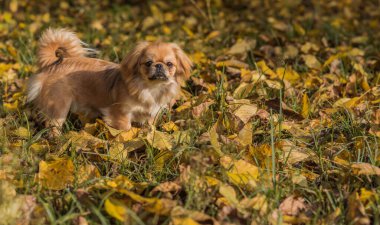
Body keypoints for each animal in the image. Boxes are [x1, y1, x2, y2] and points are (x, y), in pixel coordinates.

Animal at [27, 29, 193, 136]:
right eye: (148, 63)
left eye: (169, 64)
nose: (159, 66)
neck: (150, 89)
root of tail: (55, 63)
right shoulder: (120, 114)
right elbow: (125, 129)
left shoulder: (151, 115)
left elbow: (149, 128)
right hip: (59, 106)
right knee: (53, 126)